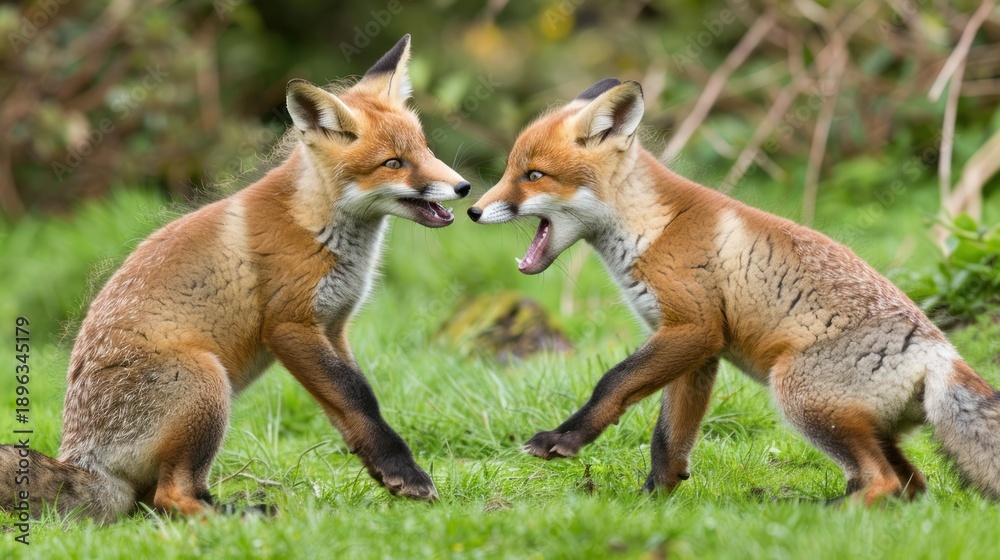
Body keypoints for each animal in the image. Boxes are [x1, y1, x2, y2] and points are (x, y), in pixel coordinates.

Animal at [0, 35, 469, 522]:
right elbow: (358, 397)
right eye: (393, 163)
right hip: (206, 384)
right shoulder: (289, 327)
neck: (318, 224)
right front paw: (405, 472)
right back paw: (239, 516)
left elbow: (355, 406)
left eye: (425, 149)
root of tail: (85, 461)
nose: (464, 187)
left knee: (156, 502)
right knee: (172, 497)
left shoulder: (332, 327)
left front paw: (386, 471)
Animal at [467, 77, 1000, 504]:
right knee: (912, 485)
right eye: (510, 170)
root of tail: (941, 352)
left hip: (798, 395)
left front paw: (567, 440)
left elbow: (612, 383)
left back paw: (816, 517)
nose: (472, 210)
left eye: (533, 175)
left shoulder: (694, 328)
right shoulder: (697, 351)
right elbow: (669, 437)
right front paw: (653, 501)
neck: (651, 227)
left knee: (882, 482)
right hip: (866, 425)